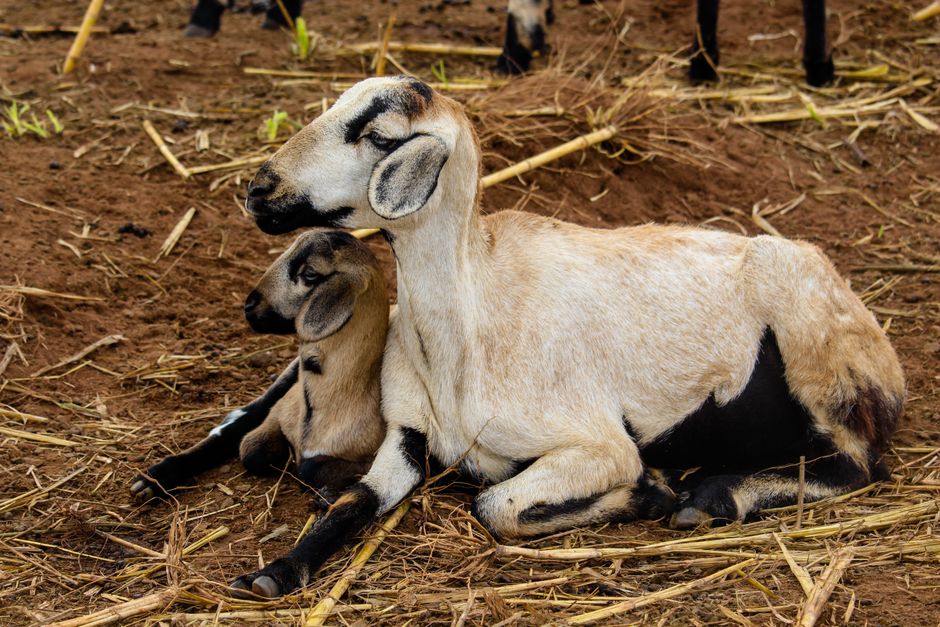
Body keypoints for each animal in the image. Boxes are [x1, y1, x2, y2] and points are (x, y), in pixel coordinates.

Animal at [130, 231, 388, 516]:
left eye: (309, 274)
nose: (249, 305)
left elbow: (311, 469)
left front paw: (327, 493)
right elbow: (252, 449)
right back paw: (152, 480)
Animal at [233, 76, 903, 597]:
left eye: (377, 136)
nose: (259, 190)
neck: (466, 328)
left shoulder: (599, 445)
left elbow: (495, 506)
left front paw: (649, 495)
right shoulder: (404, 437)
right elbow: (352, 500)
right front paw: (274, 573)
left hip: (822, 359)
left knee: (857, 465)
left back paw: (712, 495)